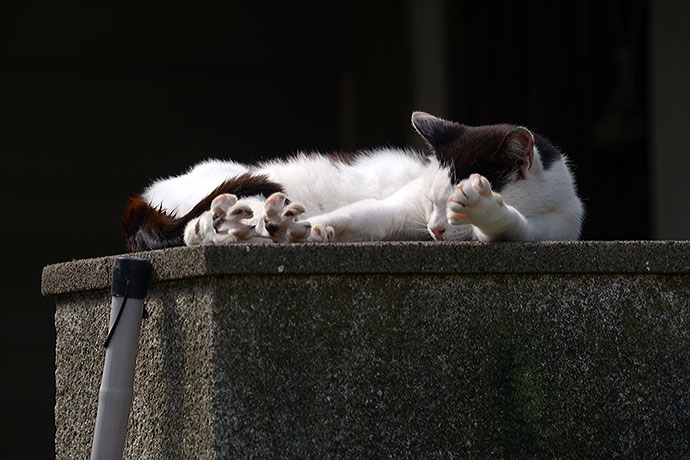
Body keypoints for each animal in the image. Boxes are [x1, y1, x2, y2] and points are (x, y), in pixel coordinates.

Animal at [122, 112, 580, 252]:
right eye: (432, 202)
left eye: (446, 209)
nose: (434, 230)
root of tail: (143, 196)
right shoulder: (398, 208)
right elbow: (358, 212)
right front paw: (309, 228)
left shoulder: (549, 229)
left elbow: (505, 225)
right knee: (197, 222)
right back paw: (234, 223)